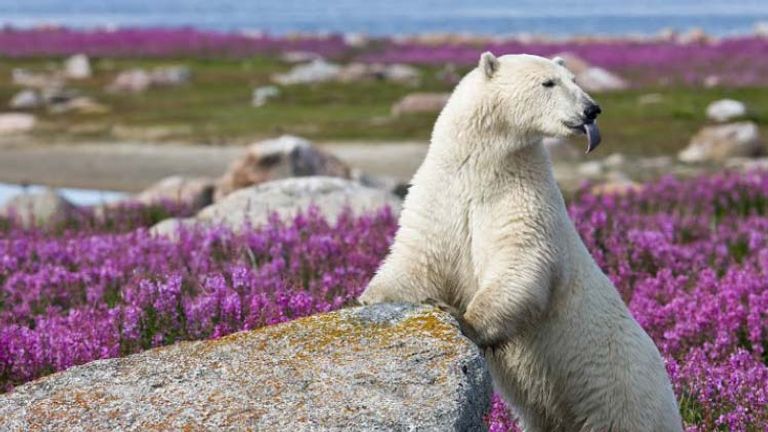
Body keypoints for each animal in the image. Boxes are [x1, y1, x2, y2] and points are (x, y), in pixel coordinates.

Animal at [358, 53, 682, 432]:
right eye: (549, 82)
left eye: (574, 79)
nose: (592, 110)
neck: (483, 167)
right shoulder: (442, 195)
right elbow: (418, 257)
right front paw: (369, 298)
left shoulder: (522, 198)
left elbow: (519, 262)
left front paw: (463, 320)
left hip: (622, 393)